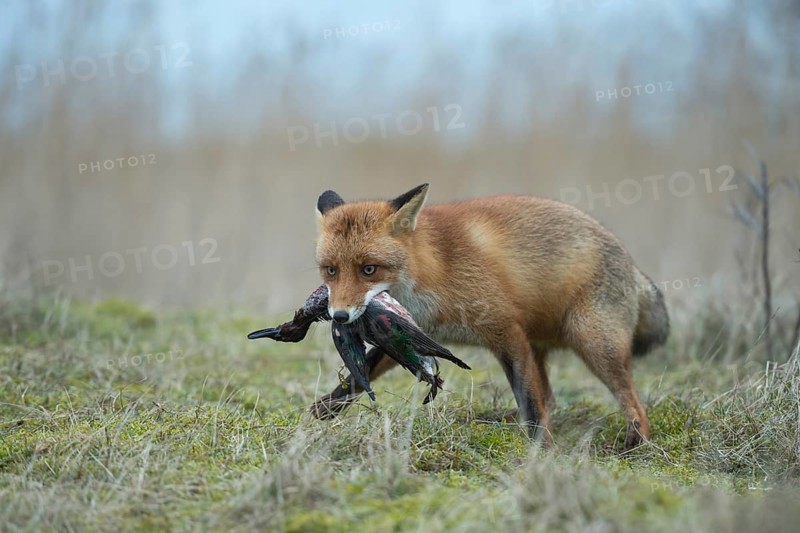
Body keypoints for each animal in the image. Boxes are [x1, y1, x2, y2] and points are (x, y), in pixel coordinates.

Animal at [310, 183, 669, 449]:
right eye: (331, 270)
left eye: (368, 269)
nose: (339, 316)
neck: (435, 268)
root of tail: (631, 263)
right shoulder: (411, 333)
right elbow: (361, 373)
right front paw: (324, 408)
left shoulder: (504, 330)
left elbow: (530, 401)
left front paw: (542, 450)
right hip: (539, 346)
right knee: (551, 399)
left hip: (593, 343)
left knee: (632, 403)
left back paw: (636, 443)